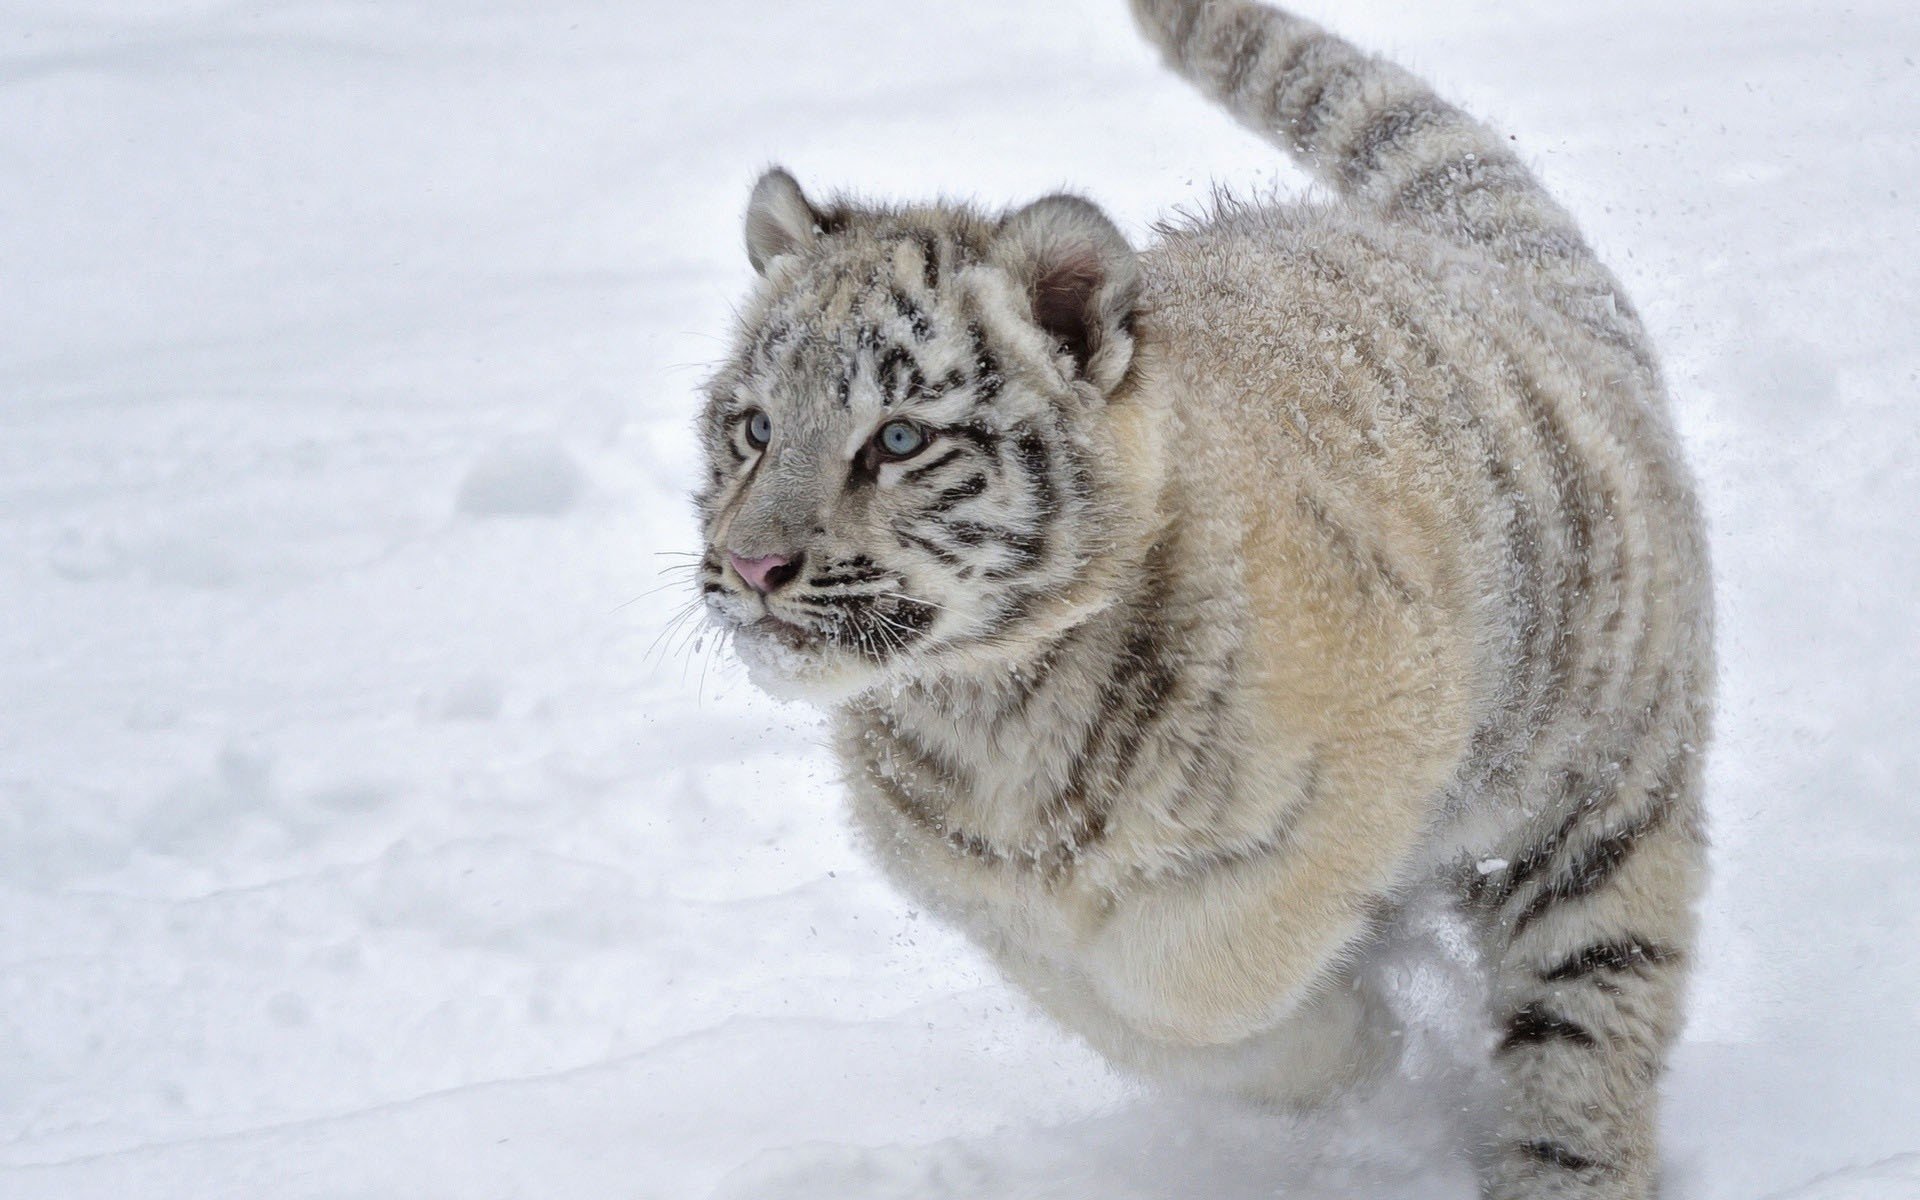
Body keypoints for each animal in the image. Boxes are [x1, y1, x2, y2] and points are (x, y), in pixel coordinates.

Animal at [689, 1, 1712, 1196]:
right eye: (756, 428)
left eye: (897, 440)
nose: (750, 566)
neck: (992, 705)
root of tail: (1487, 269)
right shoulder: (997, 910)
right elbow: (1125, 1011)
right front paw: (1342, 1044)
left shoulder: (1374, 751)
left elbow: (1190, 973)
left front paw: (1357, 1037)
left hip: (1599, 806)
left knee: (1586, 1028)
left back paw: (1562, 1165)